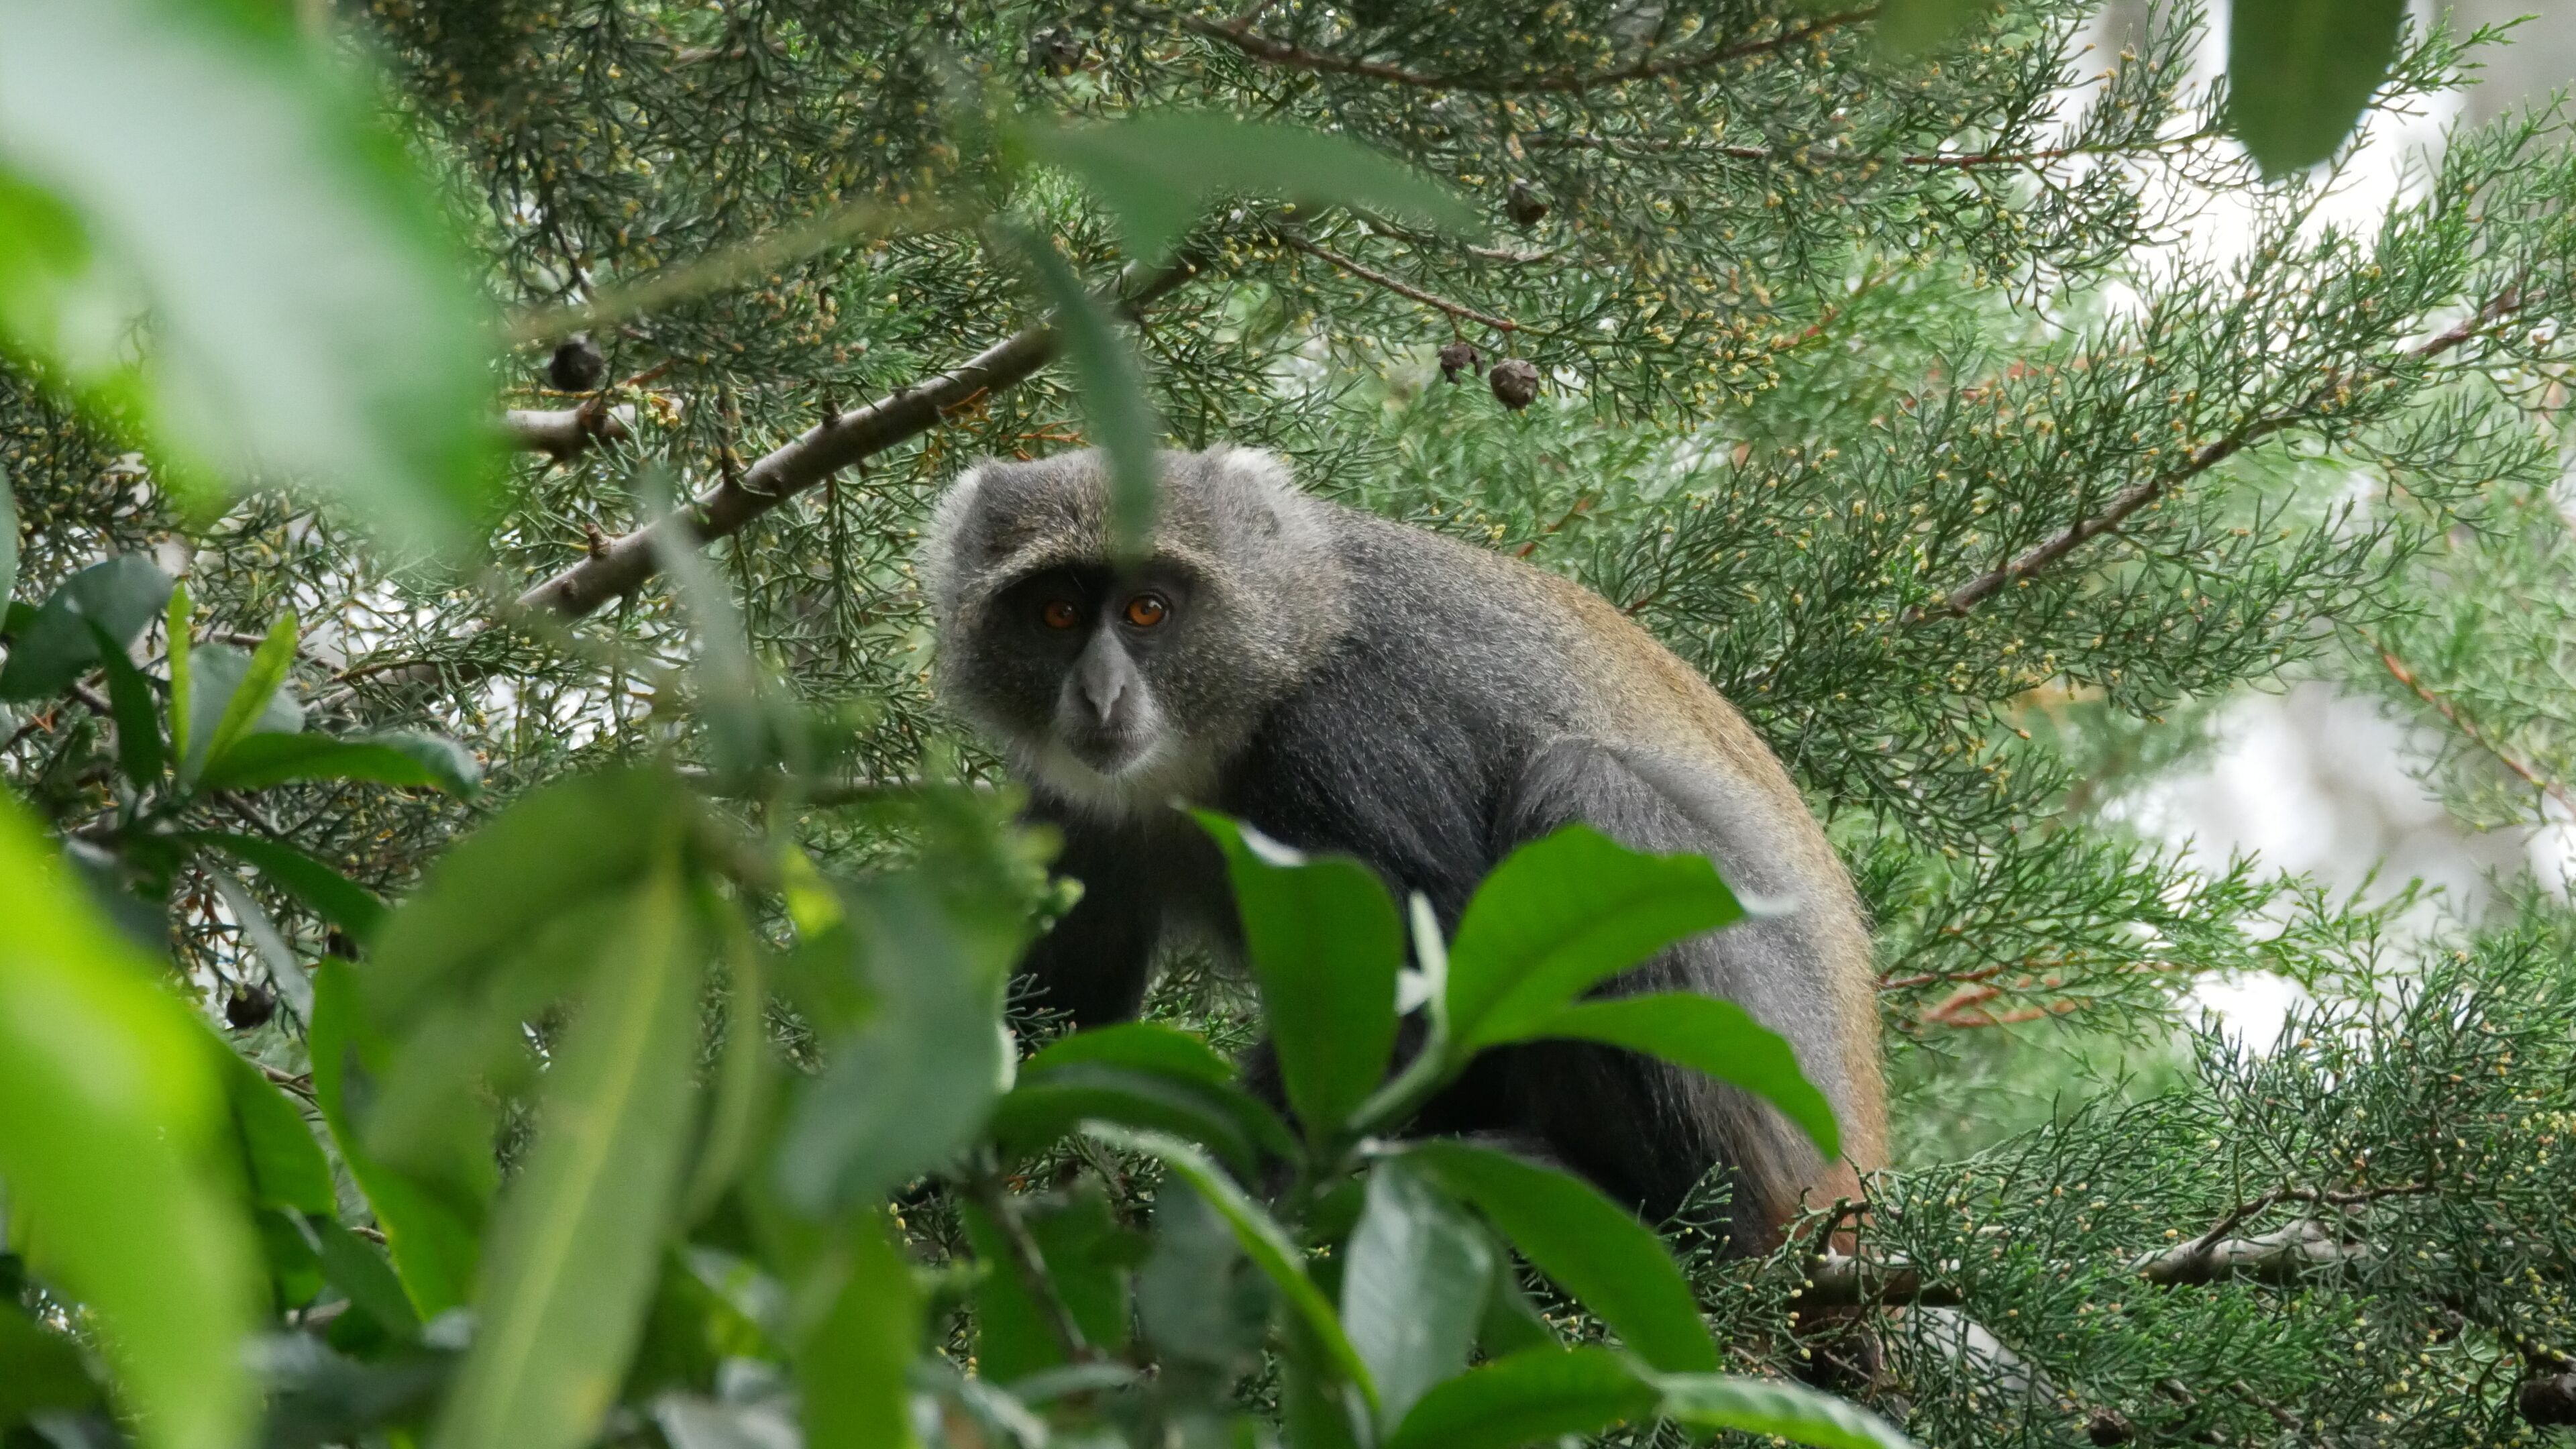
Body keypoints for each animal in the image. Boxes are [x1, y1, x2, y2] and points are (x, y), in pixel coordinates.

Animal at [922, 445, 1885, 1252]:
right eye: (1057, 613)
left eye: (1147, 609)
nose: (1100, 695)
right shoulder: (1073, 805)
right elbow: (1061, 1004)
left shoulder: (1350, 740)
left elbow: (1414, 996)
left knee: (1585, 790)